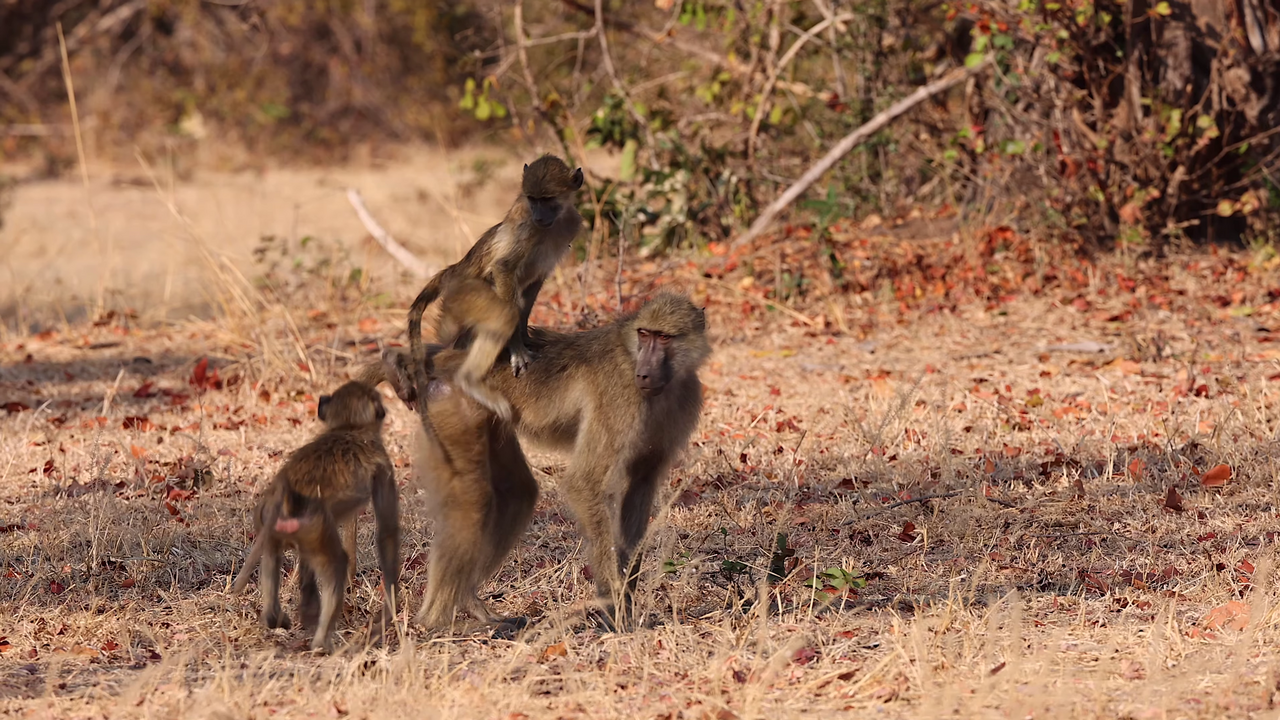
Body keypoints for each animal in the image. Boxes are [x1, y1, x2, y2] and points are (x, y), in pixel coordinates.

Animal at [229, 381, 400, 653]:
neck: (349, 427)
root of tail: (285, 487)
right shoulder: (383, 463)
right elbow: (387, 531)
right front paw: (391, 603)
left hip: (277, 522)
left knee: (273, 553)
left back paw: (274, 616)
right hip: (313, 523)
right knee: (337, 562)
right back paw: (322, 644)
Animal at [365, 292, 709, 631]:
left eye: (663, 337)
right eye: (644, 334)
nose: (644, 373)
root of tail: (446, 363)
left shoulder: (682, 401)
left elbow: (639, 486)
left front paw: (628, 596)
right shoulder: (620, 395)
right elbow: (584, 483)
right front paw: (614, 608)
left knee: (517, 494)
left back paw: (473, 607)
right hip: (451, 403)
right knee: (474, 499)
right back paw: (439, 624)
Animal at [405, 153, 584, 425]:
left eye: (547, 199)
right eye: (533, 199)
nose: (539, 215)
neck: (554, 223)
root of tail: (458, 269)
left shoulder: (569, 226)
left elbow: (534, 283)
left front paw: (525, 337)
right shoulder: (525, 225)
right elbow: (503, 268)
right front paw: (517, 348)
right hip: (464, 296)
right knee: (500, 314)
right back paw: (469, 380)